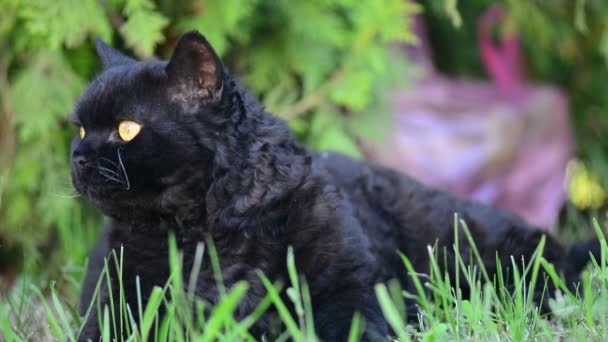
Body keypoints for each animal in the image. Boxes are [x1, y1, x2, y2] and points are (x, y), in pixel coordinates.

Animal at [73, 30, 600, 340]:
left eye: (126, 129)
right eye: (79, 128)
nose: (77, 158)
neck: (206, 230)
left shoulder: (347, 287)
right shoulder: (113, 300)